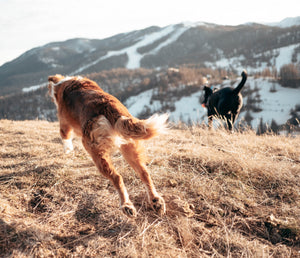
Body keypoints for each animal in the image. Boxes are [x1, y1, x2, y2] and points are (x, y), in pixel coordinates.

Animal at [48, 74, 168, 218]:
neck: (63, 83)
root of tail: (109, 108)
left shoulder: (64, 123)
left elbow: (65, 138)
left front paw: (68, 151)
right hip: (130, 146)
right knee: (144, 173)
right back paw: (156, 201)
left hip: (95, 152)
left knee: (117, 177)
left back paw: (127, 206)